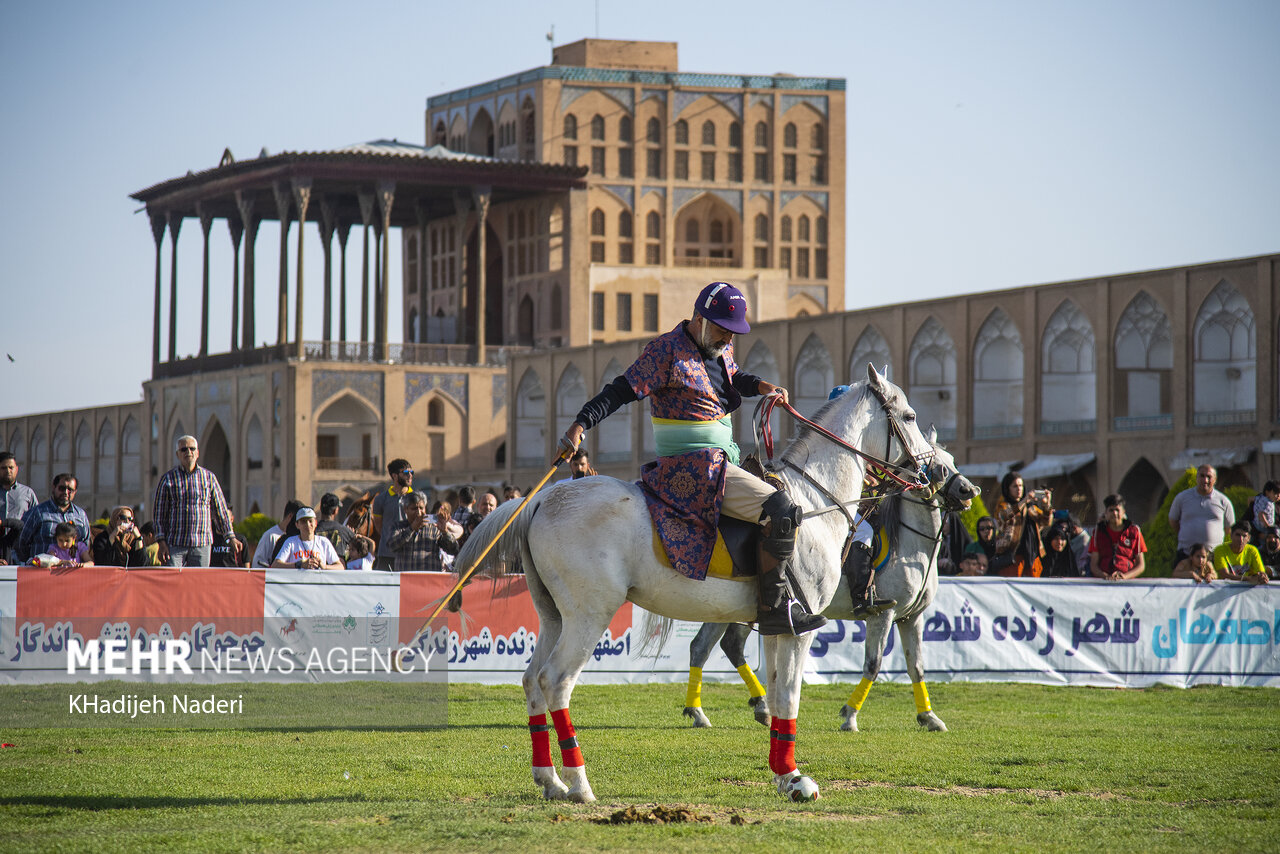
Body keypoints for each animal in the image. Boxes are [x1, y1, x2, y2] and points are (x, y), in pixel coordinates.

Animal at [455, 363, 936, 804]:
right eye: (910, 416)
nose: (927, 475)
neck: (814, 498)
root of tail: (541, 499)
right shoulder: (803, 629)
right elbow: (791, 697)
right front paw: (796, 778)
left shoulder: (780, 627)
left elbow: (779, 696)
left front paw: (784, 774)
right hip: (588, 616)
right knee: (555, 681)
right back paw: (578, 783)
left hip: (553, 616)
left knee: (531, 680)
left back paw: (549, 780)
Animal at [680, 437, 967, 732]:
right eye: (938, 463)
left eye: (952, 461)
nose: (968, 489)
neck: (912, 544)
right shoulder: (883, 614)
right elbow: (873, 665)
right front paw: (850, 715)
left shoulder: (911, 618)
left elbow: (916, 666)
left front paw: (929, 716)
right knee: (712, 646)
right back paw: (710, 710)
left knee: (718, 646)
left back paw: (743, 708)